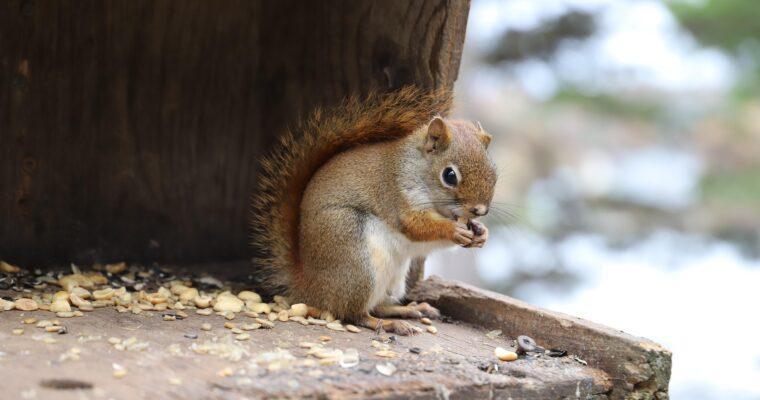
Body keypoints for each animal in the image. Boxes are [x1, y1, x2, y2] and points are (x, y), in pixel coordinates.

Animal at [250, 86, 496, 335]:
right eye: (449, 175)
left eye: (494, 173)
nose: (480, 210)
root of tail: (309, 286)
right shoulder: (395, 196)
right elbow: (415, 226)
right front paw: (454, 230)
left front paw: (480, 233)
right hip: (355, 259)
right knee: (354, 314)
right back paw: (387, 324)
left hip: (394, 278)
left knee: (378, 306)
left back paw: (409, 310)